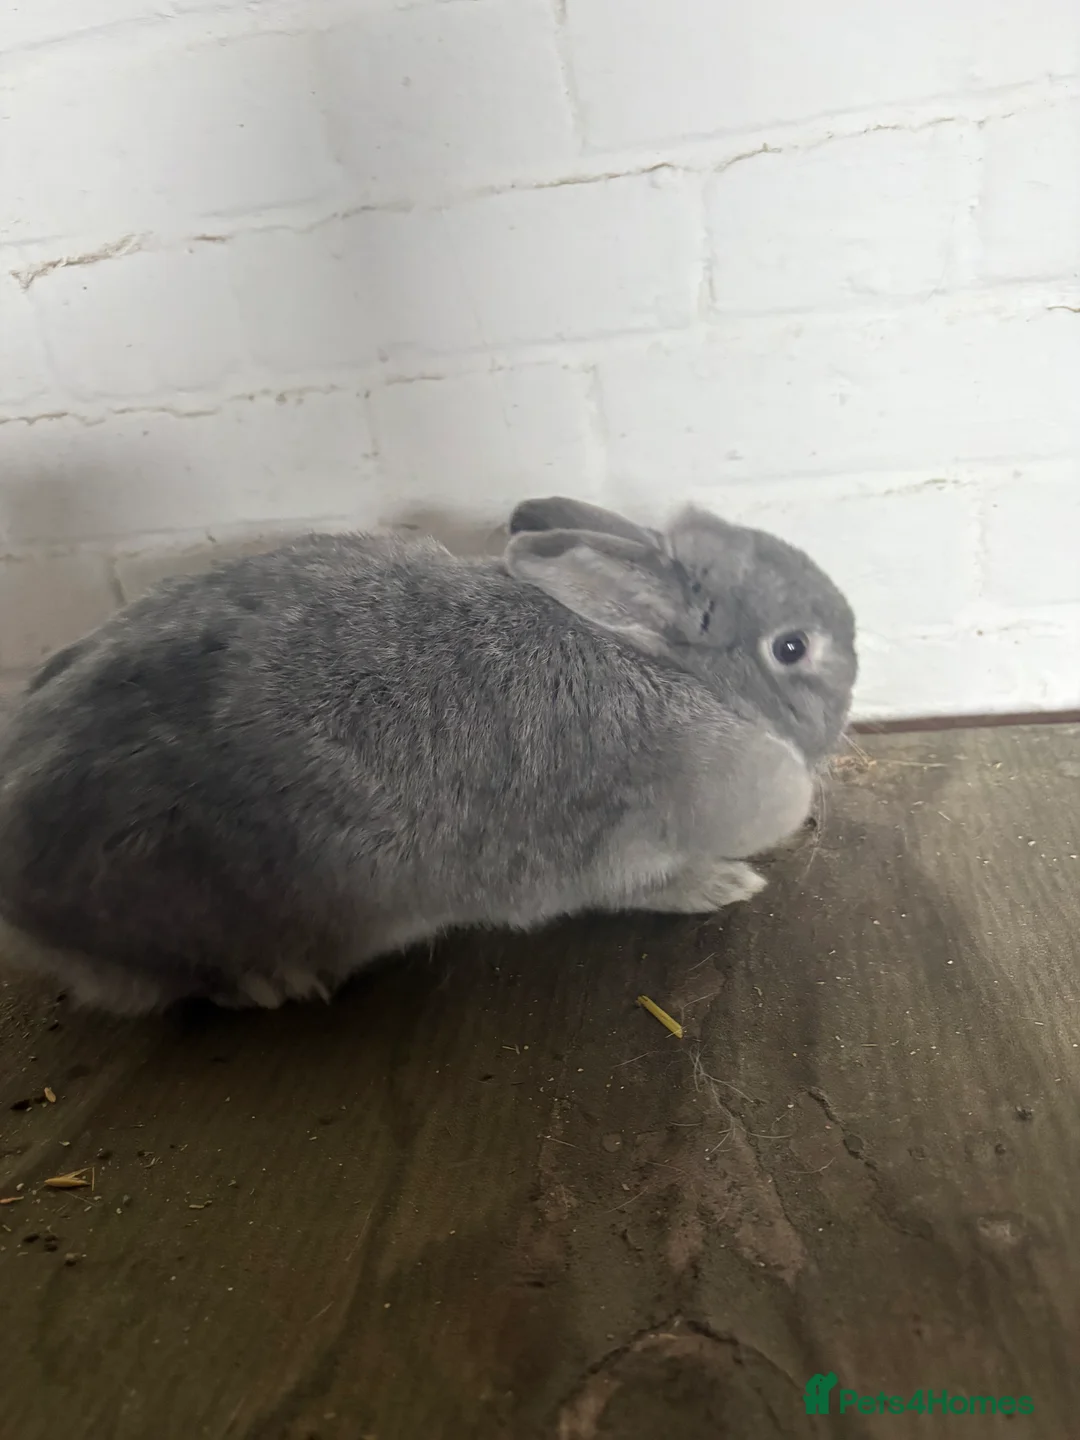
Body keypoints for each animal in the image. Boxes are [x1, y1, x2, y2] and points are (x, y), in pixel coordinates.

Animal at [0, 499, 856, 1015]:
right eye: (792, 648)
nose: (852, 684)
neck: (682, 674)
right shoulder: (617, 852)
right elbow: (646, 885)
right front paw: (726, 885)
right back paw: (277, 983)